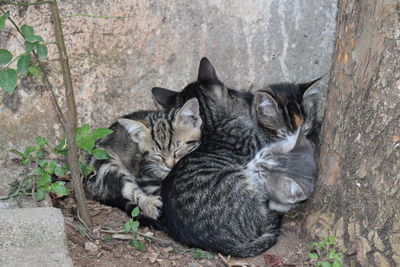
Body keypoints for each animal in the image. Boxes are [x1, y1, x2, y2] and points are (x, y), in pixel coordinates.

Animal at [85, 97, 203, 227]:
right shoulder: (145, 176)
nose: (170, 166)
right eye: (158, 155)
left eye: (178, 149)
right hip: (105, 161)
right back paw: (150, 204)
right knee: (128, 189)